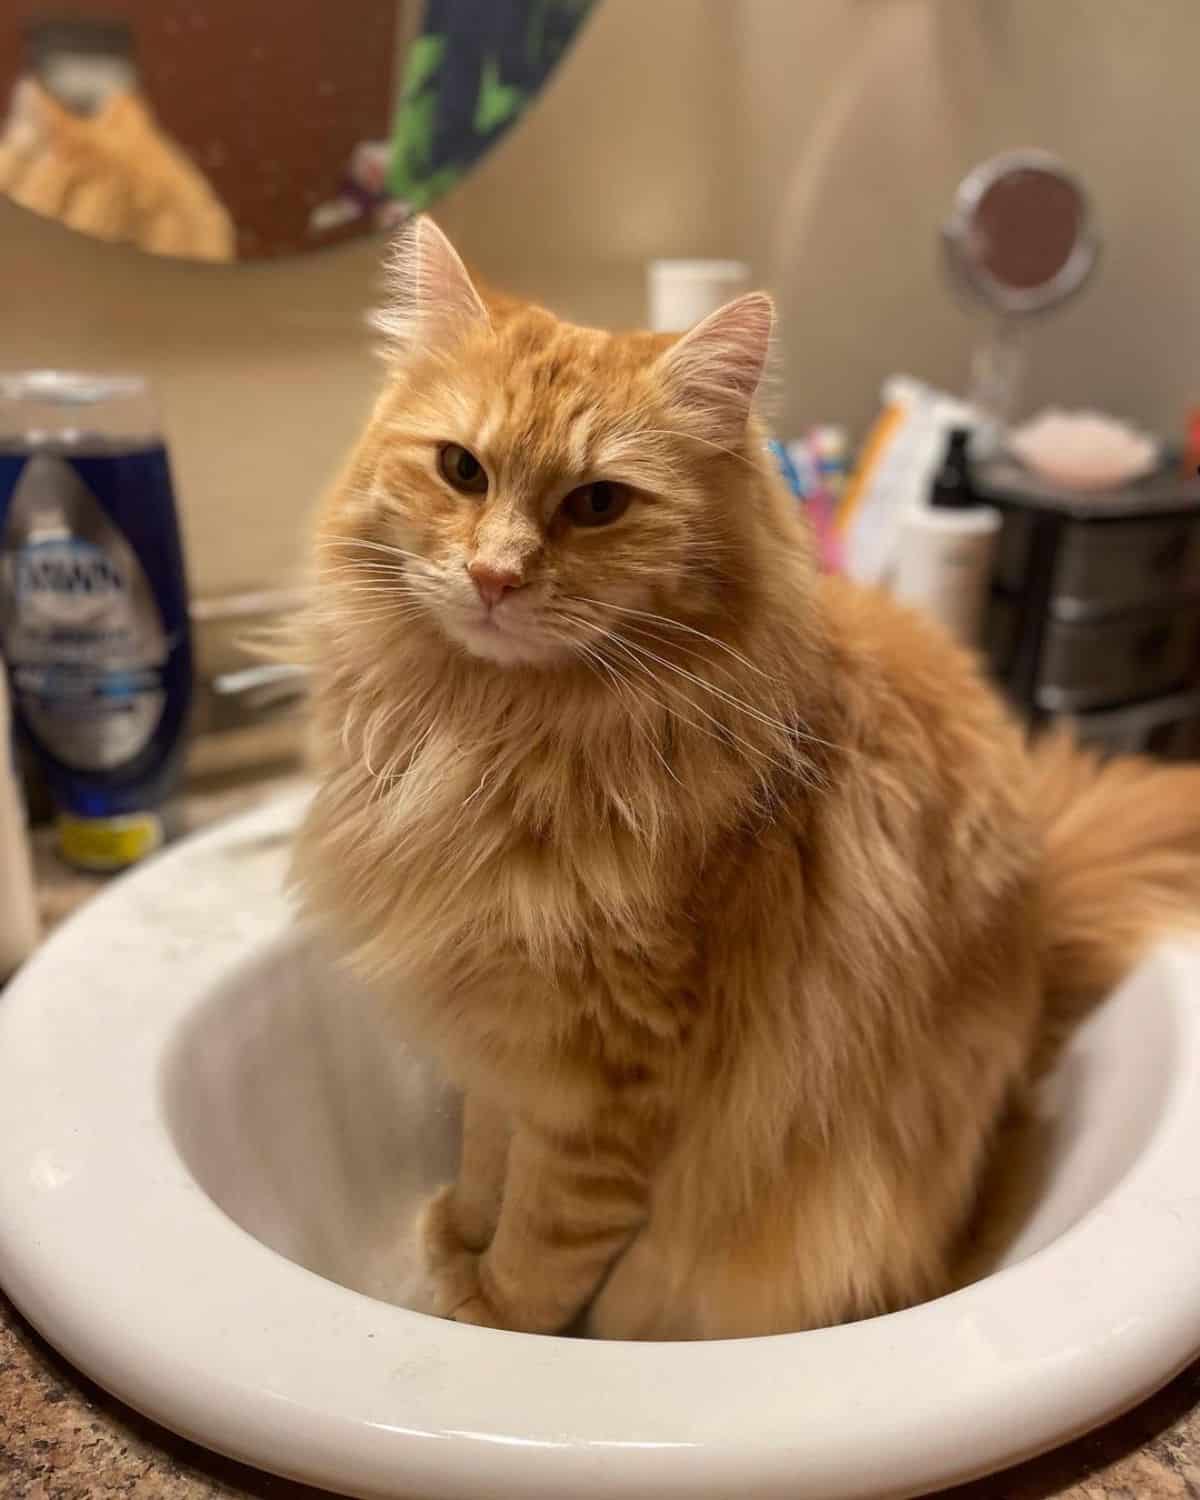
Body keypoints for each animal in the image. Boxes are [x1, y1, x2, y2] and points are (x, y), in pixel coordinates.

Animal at [295, 217, 1200, 1344]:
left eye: (598, 504)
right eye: (461, 470)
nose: (495, 578)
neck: (490, 741)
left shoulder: (604, 1082)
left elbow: (546, 1240)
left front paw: (490, 1313)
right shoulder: (500, 1033)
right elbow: (484, 1154)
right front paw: (456, 1234)